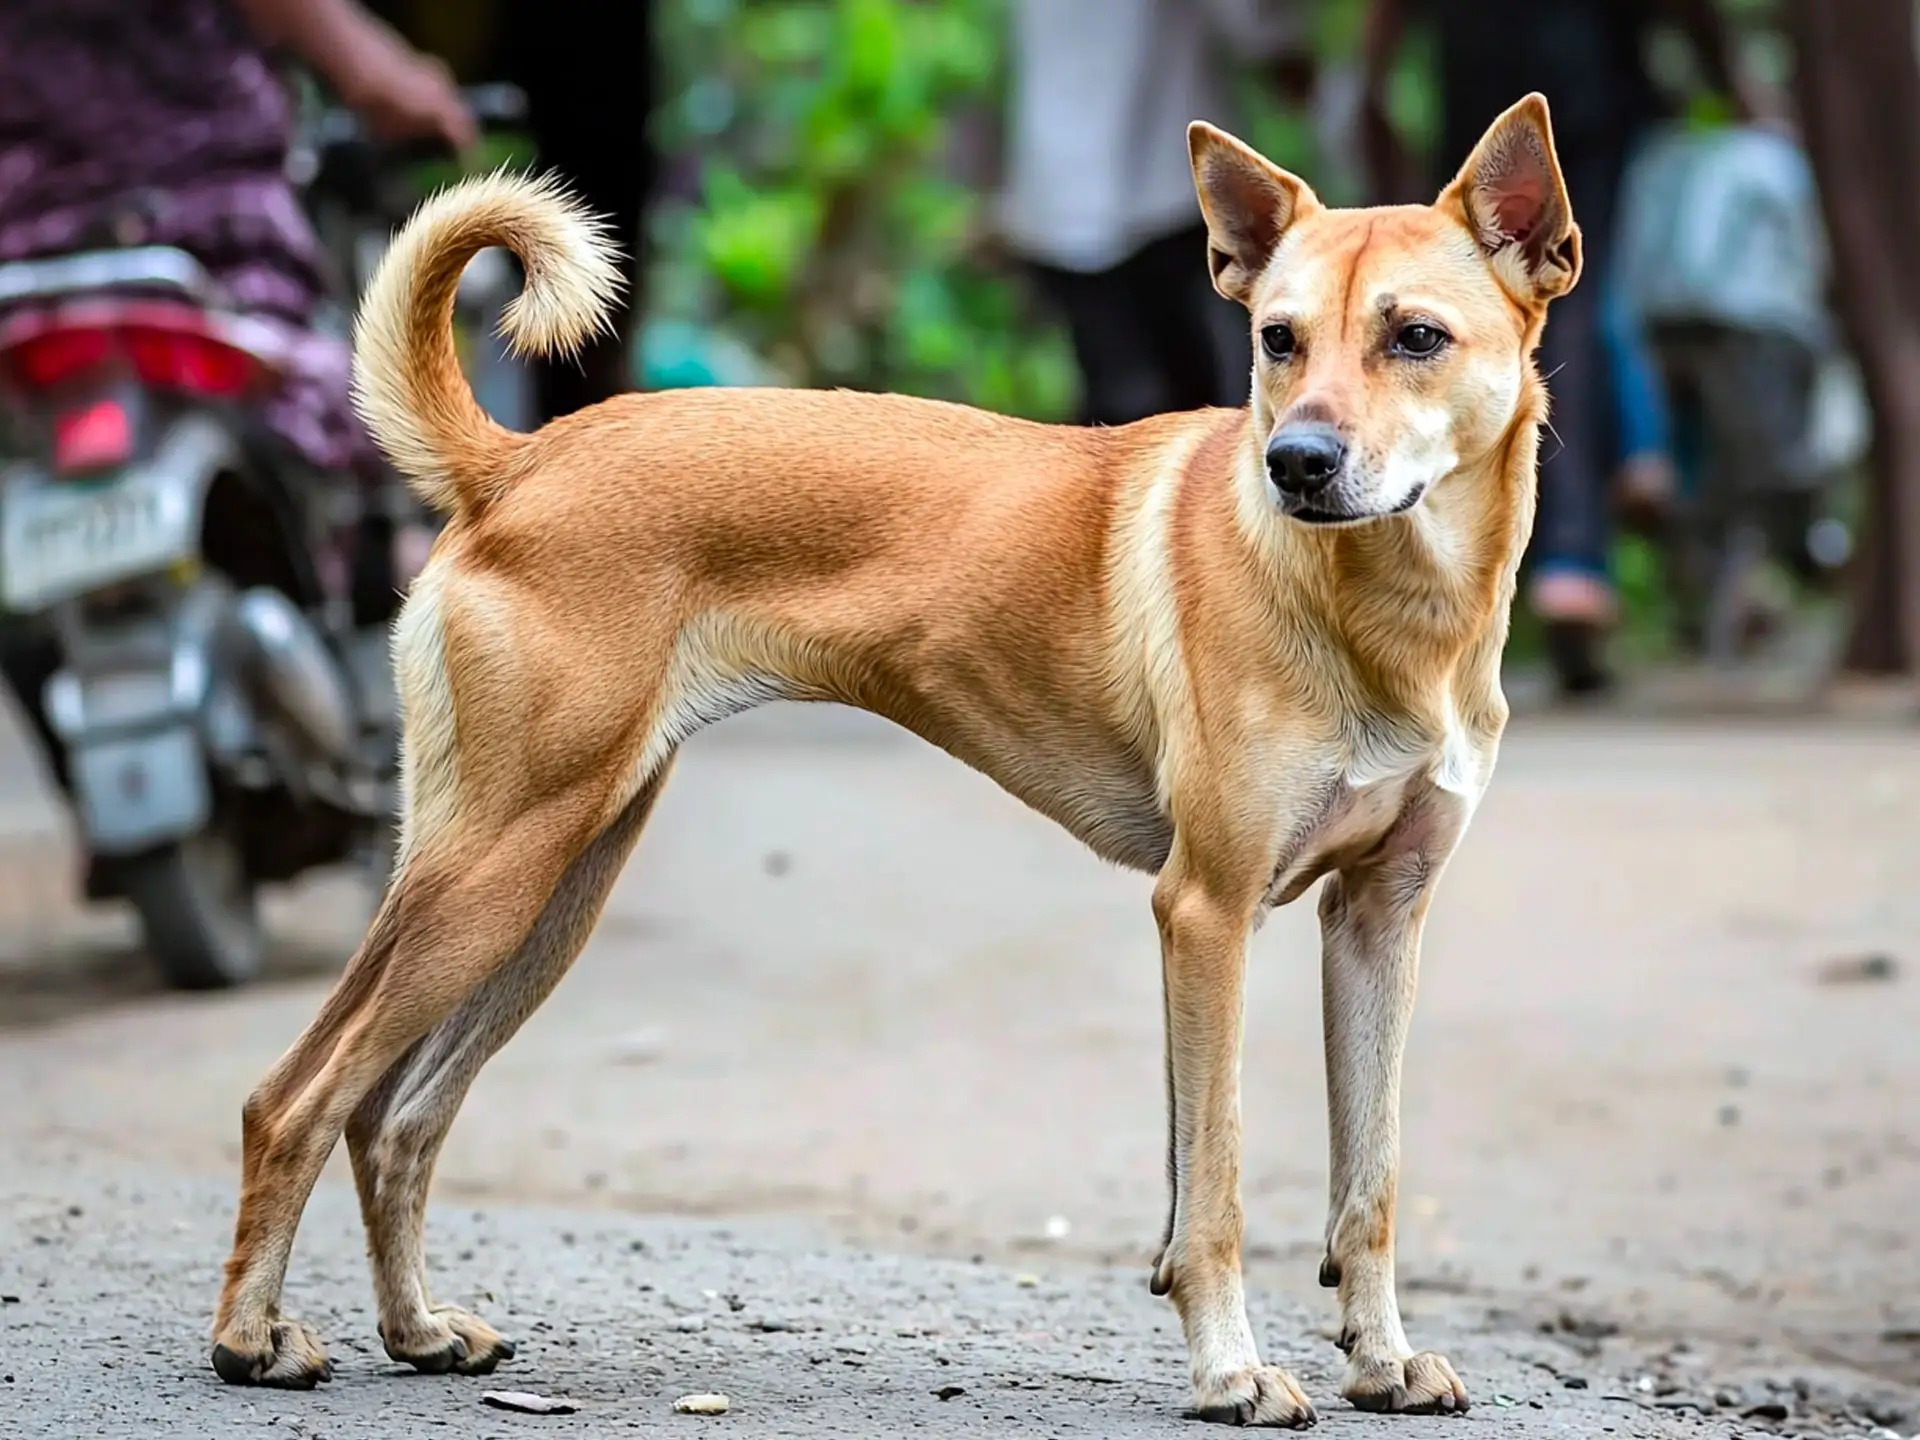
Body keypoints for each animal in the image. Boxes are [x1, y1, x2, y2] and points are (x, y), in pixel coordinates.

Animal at [214, 96, 1574, 1428]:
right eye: (1277, 340)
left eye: (1416, 337)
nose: (1297, 462)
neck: (1388, 614)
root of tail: (518, 462)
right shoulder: (1208, 909)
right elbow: (1222, 1183)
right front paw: (1231, 1372)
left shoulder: (1377, 919)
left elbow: (1368, 1180)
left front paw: (1382, 1360)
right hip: (494, 865)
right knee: (296, 1098)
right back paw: (251, 1340)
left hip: (559, 885)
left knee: (396, 1118)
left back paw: (415, 1330)